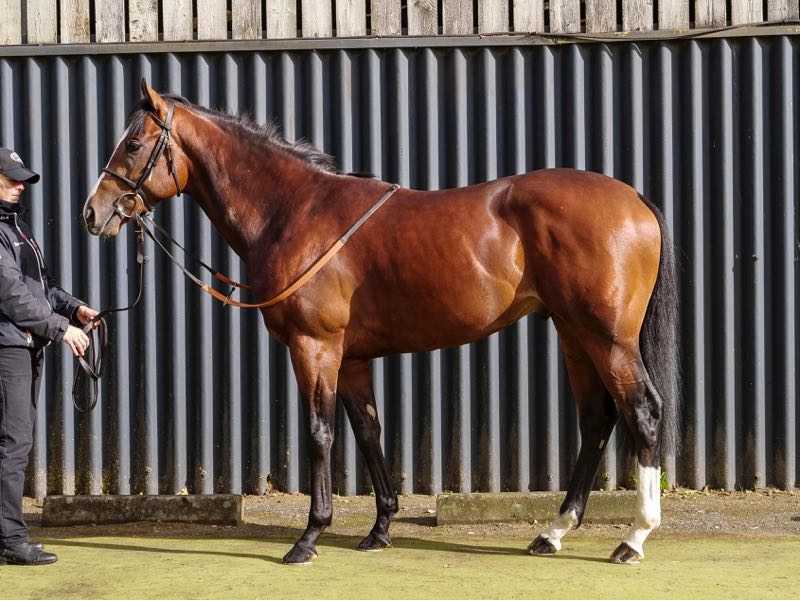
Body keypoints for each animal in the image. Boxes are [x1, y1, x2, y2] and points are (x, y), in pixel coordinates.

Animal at [83, 79, 679, 565]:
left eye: (132, 143)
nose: (93, 212)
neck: (294, 211)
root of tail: (634, 200)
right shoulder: (352, 359)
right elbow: (368, 431)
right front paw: (380, 528)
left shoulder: (314, 348)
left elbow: (321, 433)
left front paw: (309, 538)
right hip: (574, 333)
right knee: (597, 419)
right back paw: (553, 532)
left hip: (608, 338)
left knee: (643, 413)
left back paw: (633, 538)